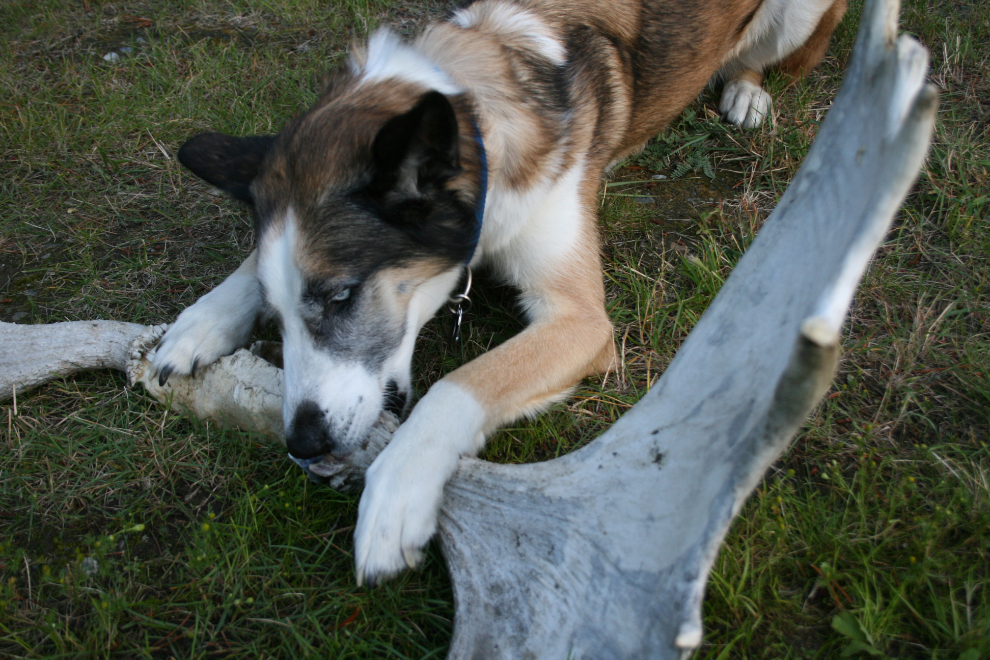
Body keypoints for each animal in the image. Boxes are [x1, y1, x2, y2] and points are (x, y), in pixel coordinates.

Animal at [147, 0, 844, 584]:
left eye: (343, 296)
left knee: (759, 62)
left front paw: (395, 495)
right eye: (278, 313)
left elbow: (462, 385)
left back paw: (746, 94)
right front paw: (201, 321)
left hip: (798, 19)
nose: (302, 445)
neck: (478, 116)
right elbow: (250, 268)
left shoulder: (581, 321)